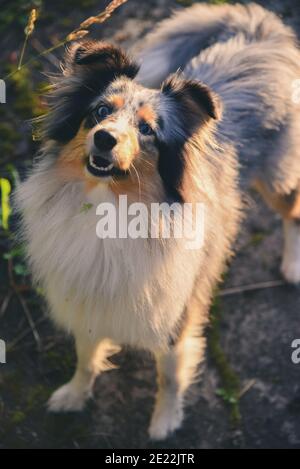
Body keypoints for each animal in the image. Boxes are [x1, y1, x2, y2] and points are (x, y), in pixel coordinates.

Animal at [15, 2, 300, 438]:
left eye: (148, 129)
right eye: (100, 111)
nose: (104, 138)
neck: (112, 208)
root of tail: (258, 31)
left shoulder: (175, 314)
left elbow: (169, 375)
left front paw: (164, 422)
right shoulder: (88, 296)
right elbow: (86, 354)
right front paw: (74, 395)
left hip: (276, 180)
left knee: (293, 211)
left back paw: (292, 265)